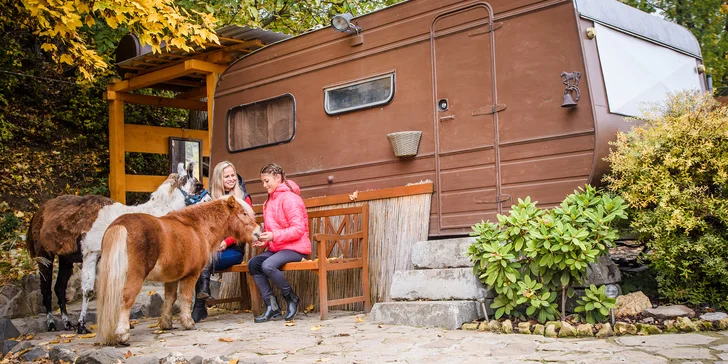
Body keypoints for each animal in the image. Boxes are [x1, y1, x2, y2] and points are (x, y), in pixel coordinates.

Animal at [27, 162, 209, 332]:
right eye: (199, 186)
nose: (209, 199)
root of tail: (40, 211)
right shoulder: (91, 253)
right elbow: (88, 290)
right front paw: (82, 326)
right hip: (44, 253)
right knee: (46, 289)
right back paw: (52, 324)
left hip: (66, 257)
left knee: (59, 287)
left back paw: (66, 323)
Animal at [96, 196, 262, 346]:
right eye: (244, 213)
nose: (258, 231)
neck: (196, 227)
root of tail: (120, 224)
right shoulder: (191, 275)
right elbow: (186, 298)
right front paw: (188, 322)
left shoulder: (172, 278)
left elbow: (170, 299)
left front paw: (166, 323)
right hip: (135, 277)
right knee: (126, 299)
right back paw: (123, 334)